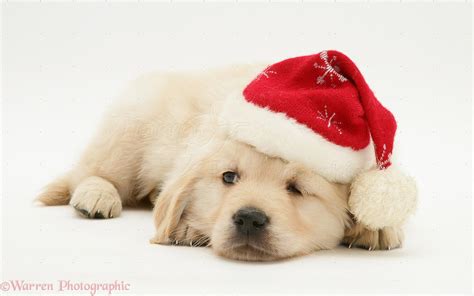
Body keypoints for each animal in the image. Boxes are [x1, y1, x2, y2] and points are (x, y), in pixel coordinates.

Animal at [38, 64, 404, 260]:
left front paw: (376, 226)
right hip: (129, 130)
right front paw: (189, 226)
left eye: (297, 189)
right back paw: (96, 196)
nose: (249, 219)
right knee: (90, 172)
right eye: (229, 177)